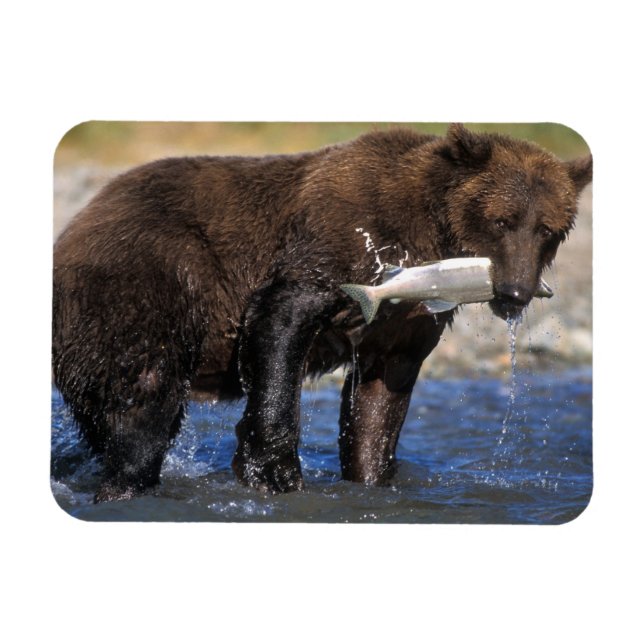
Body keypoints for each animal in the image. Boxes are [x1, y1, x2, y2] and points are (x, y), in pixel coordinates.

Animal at [52, 124, 592, 502]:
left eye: (548, 228)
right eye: (502, 220)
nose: (516, 291)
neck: (428, 234)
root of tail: (74, 227)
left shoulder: (405, 321)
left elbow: (380, 398)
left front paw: (370, 474)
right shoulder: (341, 239)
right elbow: (281, 320)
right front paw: (272, 470)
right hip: (145, 287)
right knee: (144, 408)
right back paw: (126, 484)